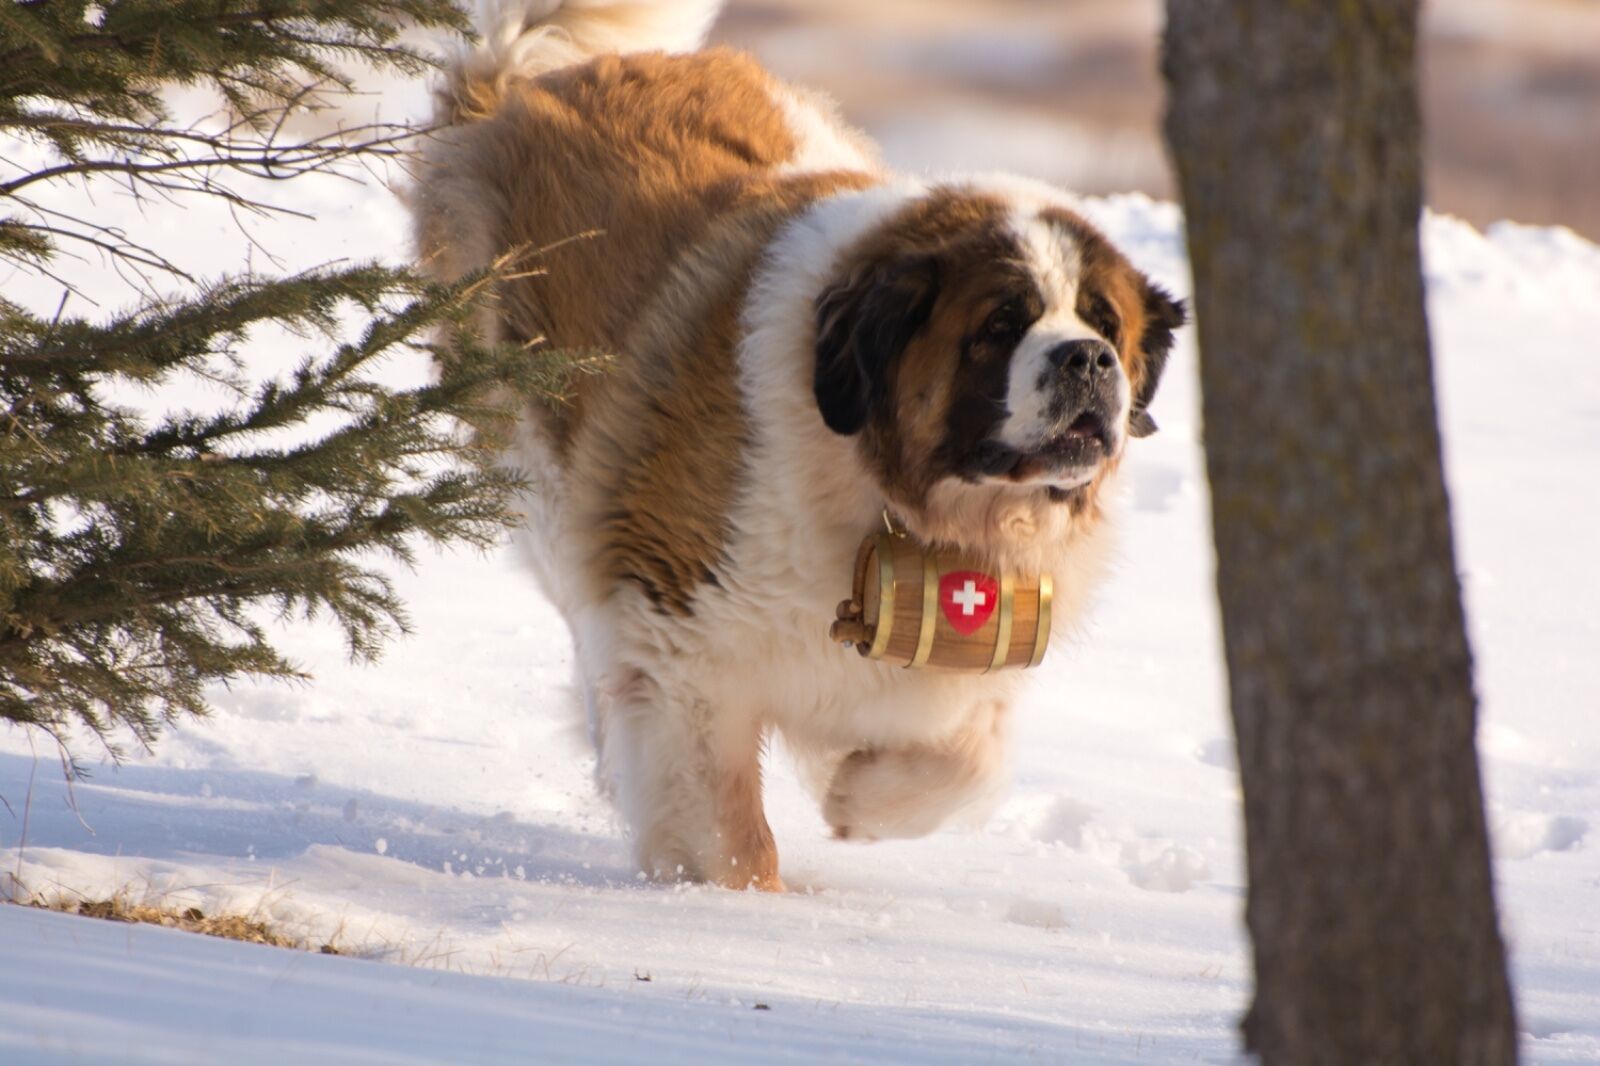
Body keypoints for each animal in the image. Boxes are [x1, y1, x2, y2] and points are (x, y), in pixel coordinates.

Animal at [409, 0, 1190, 889]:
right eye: (999, 325)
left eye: (1106, 325)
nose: (1086, 359)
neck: (893, 491)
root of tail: (534, 76)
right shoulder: (681, 635)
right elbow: (726, 826)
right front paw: (736, 901)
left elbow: (974, 763)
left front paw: (858, 797)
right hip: (536, 454)